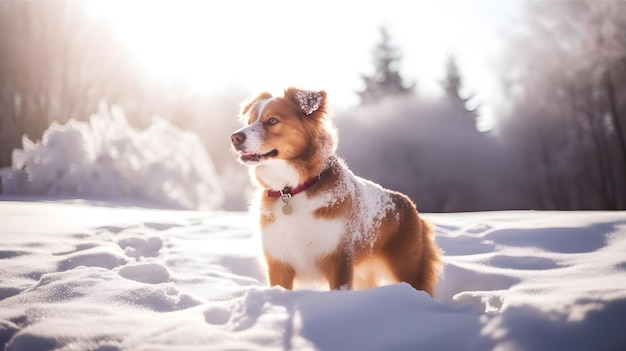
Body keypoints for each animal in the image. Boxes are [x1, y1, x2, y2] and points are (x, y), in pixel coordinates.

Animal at [228, 86, 438, 296]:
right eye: (249, 121)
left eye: (272, 121)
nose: (234, 137)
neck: (292, 190)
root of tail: (409, 204)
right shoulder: (279, 262)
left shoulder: (339, 260)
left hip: (408, 269)